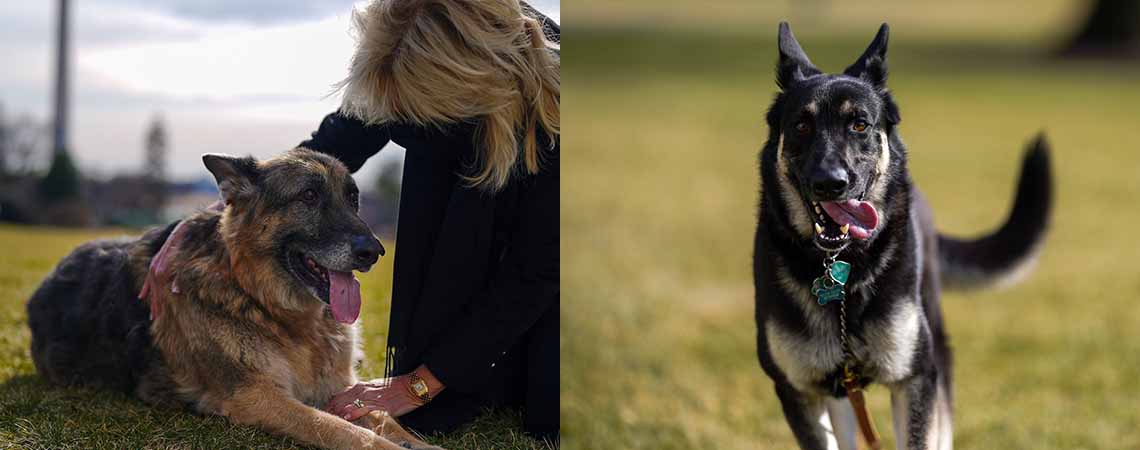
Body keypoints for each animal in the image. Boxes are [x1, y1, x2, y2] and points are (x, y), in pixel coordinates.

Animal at [28, 149, 440, 448]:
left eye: (353, 199)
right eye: (308, 196)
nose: (374, 251)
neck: (265, 303)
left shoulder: (342, 390)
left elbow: (388, 421)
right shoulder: (257, 397)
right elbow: (347, 432)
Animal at [752, 22, 1053, 448]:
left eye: (860, 124)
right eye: (801, 126)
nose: (830, 183)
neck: (843, 271)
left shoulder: (914, 379)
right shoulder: (800, 391)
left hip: (936, 347)